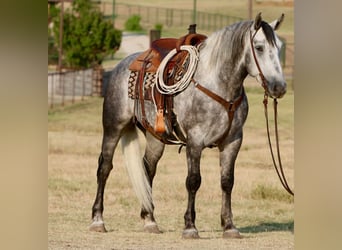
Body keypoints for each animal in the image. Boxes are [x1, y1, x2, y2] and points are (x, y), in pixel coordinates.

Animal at [90, 13, 286, 238]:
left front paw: (229, 226)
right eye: (259, 47)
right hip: (113, 127)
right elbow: (193, 181)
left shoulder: (233, 141)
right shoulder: (195, 141)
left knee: (148, 169)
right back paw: (97, 220)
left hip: (155, 138)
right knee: (104, 168)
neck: (216, 84)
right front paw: (190, 226)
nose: (279, 87)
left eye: (279, 47)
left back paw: (150, 220)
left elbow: (227, 181)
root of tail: (122, 65)